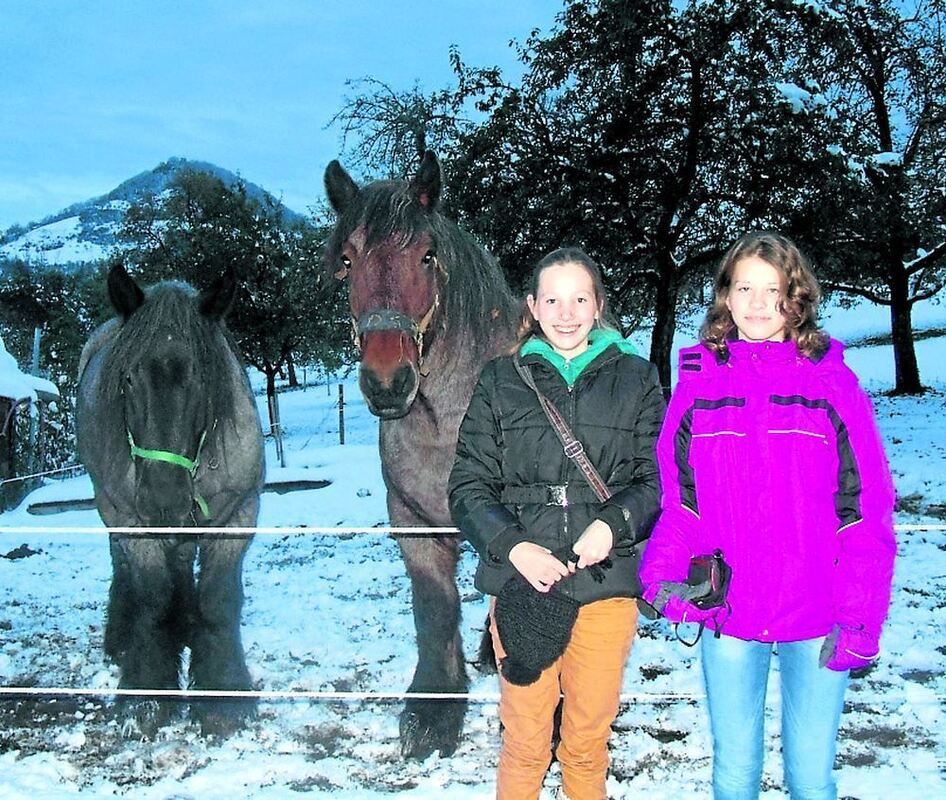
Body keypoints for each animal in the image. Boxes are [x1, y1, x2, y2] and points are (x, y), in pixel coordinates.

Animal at [76, 263, 265, 737]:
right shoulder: (132, 521)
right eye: (128, 379)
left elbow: (218, 599)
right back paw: (124, 638)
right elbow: (154, 600)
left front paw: (224, 693)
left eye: (201, 378)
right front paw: (146, 692)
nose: (163, 497)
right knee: (126, 568)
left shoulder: (239, 515)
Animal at [323, 152, 519, 758]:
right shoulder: (413, 522)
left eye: (427, 255)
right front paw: (435, 709)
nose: (388, 381)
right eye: (347, 260)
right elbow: (434, 608)